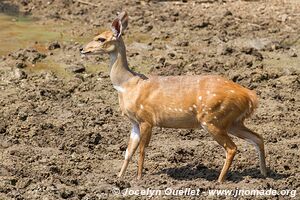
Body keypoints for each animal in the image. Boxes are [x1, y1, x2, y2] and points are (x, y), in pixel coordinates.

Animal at [79, 11, 268, 182]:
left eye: (101, 39)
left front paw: (139, 178)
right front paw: (119, 177)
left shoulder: (147, 119)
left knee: (232, 148)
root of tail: (250, 96)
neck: (128, 85)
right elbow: (128, 151)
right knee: (258, 138)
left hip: (212, 118)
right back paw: (264, 174)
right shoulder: (134, 122)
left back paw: (219, 181)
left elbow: (141, 150)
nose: (82, 49)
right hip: (232, 121)